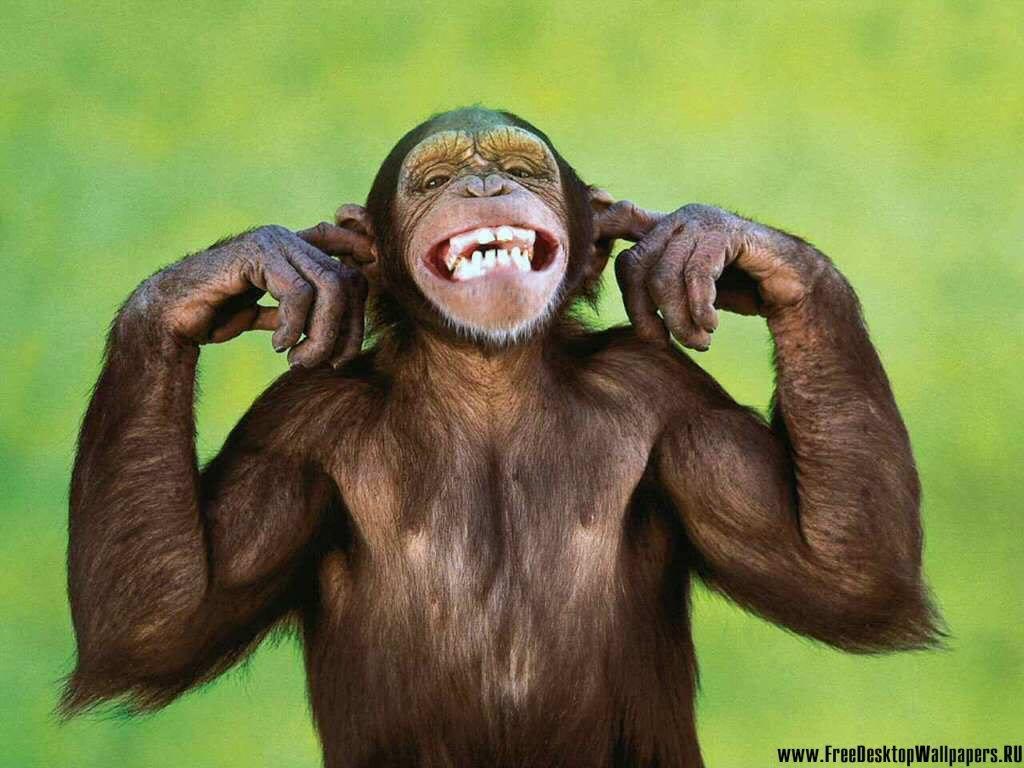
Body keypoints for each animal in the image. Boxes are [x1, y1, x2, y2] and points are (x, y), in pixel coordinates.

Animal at [62, 106, 940, 767]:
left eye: (523, 169)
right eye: (434, 180)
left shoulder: (670, 400)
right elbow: (159, 620)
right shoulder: (294, 430)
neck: (488, 382)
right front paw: (234, 271)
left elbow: (838, 574)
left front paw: (713, 241)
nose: (485, 184)